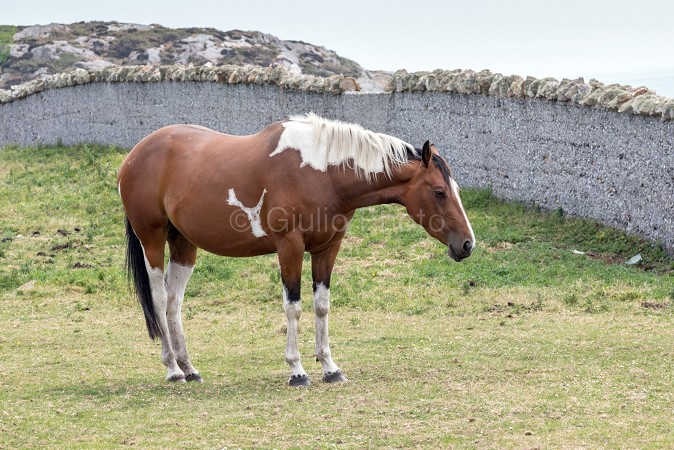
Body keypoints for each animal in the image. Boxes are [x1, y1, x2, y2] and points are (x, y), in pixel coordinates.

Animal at [117, 113, 475, 386]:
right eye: (439, 191)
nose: (467, 244)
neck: (322, 174)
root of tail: (135, 155)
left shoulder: (327, 248)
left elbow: (321, 306)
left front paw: (330, 368)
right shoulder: (289, 246)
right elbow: (294, 307)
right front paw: (297, 371)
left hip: (183, 244)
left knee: (174, 302)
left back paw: (189, 368)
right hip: (152, 239)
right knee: (159, 298)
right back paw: (173, 369)